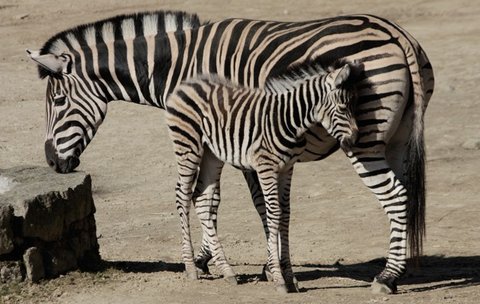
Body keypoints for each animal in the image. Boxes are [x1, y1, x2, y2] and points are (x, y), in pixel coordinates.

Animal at [167, 61, 358, 292]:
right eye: (342, 108)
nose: (354, 140)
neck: (289, 120)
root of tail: (187, 83)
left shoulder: (287, 168)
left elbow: (285, 214)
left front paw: (290, 276)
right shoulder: (266, 167)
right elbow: (273, 212)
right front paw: (278, 278)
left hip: (211, 154)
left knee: (202, 199)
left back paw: (227, 270)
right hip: (188, 146)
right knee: (183, 195)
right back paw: (190, 267)